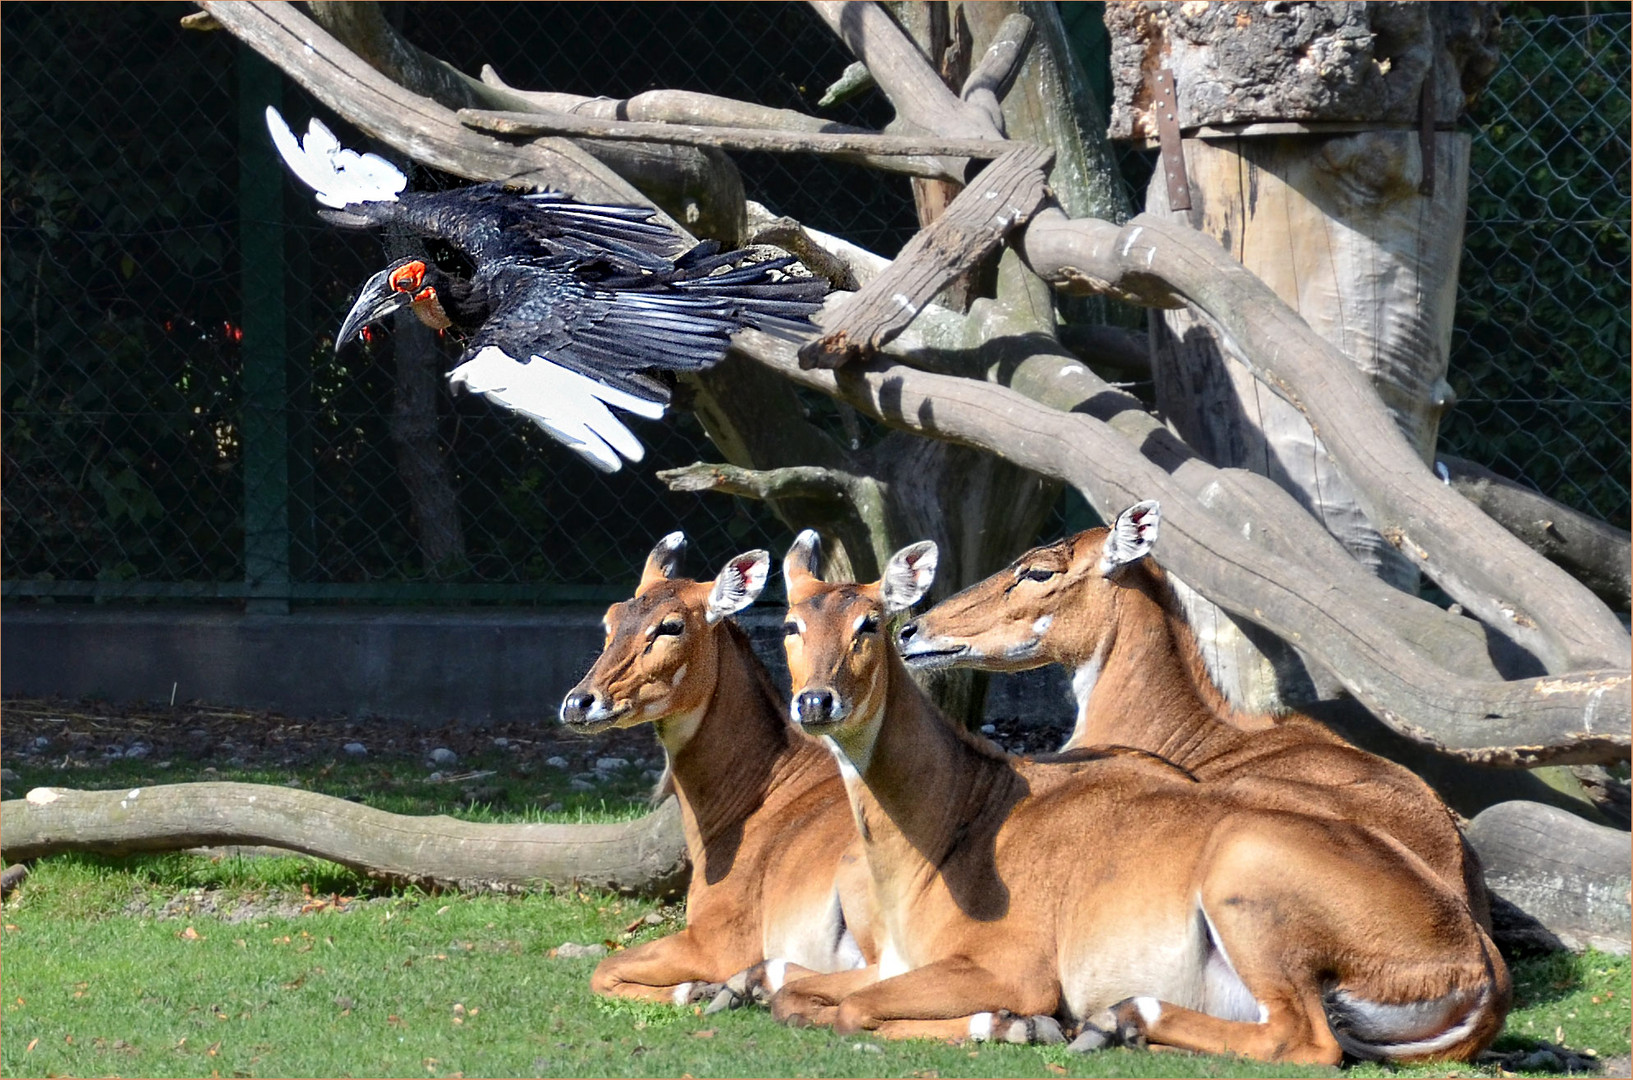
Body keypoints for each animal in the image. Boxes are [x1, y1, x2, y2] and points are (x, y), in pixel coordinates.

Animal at [561, 532, 875, 999]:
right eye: (611, 619)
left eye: (671, 625)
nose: (579, 703)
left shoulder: (714, 941)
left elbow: (604, 969)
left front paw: (694, 990)